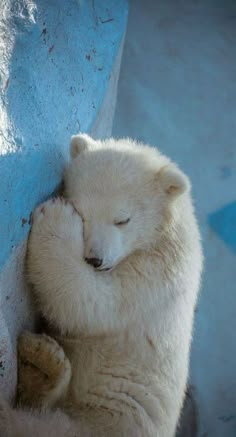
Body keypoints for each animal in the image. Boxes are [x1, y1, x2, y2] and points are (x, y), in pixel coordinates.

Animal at [0, 135, 203, 434]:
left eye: (122, 219)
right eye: (83, 212)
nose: (94, 259)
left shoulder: (157, 277)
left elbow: (93, 304)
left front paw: (56, 217)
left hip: (112, 419)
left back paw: (41, 368)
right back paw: (42, 363)